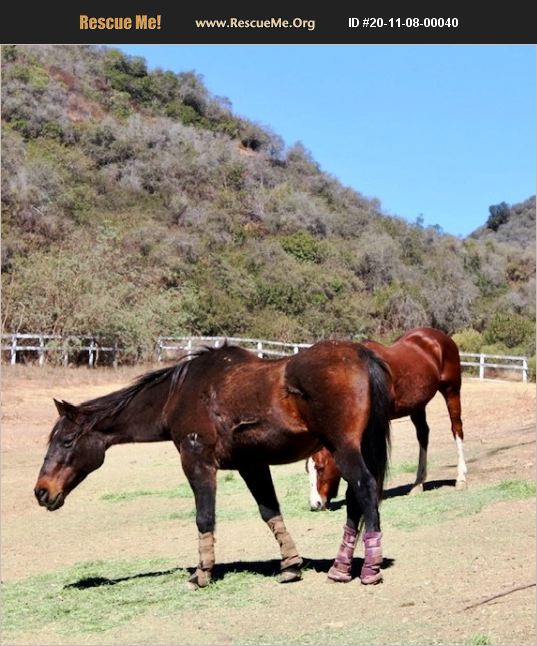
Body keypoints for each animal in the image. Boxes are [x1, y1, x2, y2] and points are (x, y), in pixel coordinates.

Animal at [34, 340, 391, 587]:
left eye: (66, 441)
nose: (41, 491)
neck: (178, 394)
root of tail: (360, 354)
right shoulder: (252, 465)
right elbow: (270, 512)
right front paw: (291, 565)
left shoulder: (197, 462)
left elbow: (204, 517)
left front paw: (202, 573)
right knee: (357, 499)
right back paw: (340, 568)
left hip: (344, 449)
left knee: (365, 489)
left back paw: (369, 569)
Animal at [306, 327, 467, 511]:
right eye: (308, 470)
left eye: (320, 467)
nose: (315, 504)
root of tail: (439, 337)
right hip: (417, 406)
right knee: (423, 436)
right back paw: (418, 483)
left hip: (452, 391)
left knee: (456, 429)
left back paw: (461, 478)